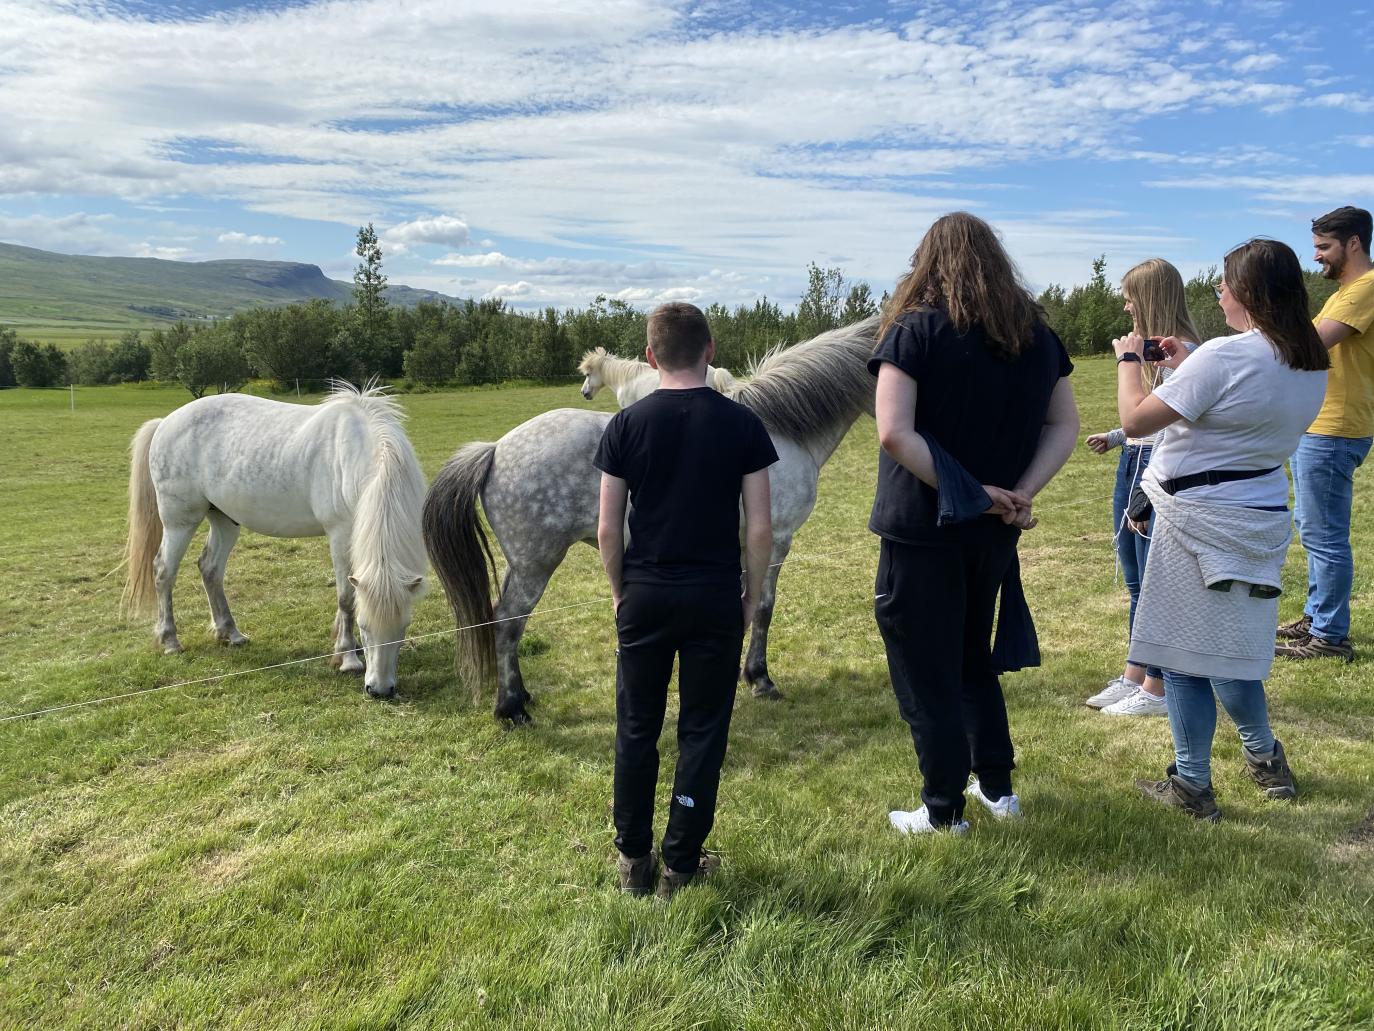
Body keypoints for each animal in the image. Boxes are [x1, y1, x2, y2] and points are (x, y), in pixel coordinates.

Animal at [121, 384, 425, 698]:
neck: (357, 454)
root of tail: (165, 423)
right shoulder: (340, 536)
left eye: (404, 626)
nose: (380, 690)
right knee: (164, 572)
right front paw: (348, 658)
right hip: (179, 522)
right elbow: (346, 599)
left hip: (224, 520)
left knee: (210, 569)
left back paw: (231, 633)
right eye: (365, 627)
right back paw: (170, 640)